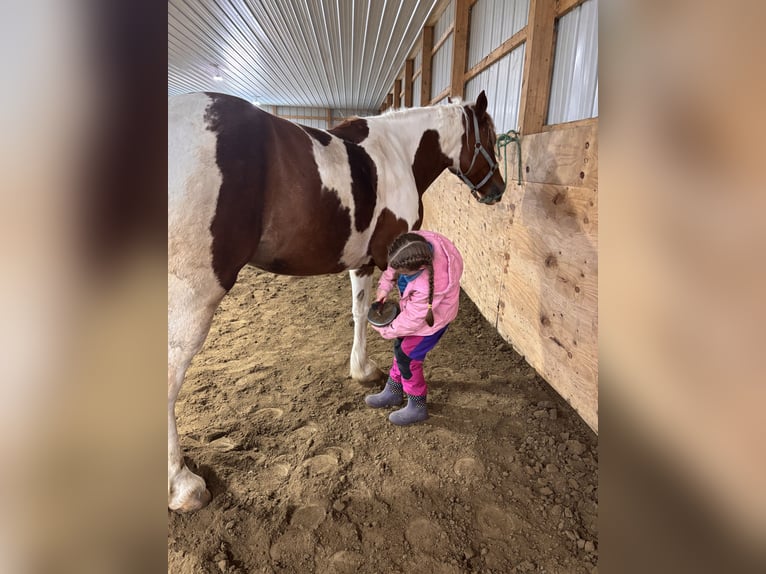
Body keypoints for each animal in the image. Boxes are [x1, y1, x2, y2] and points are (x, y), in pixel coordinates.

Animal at [168, 90, 506, 511]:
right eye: (489, 136)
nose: (499, 190)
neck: (398, 151)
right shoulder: (394, 258)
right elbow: (399, 324)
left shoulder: (363, 263)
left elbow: (363, 312)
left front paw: (363, 371)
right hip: (193, 293)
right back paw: (183, 485)